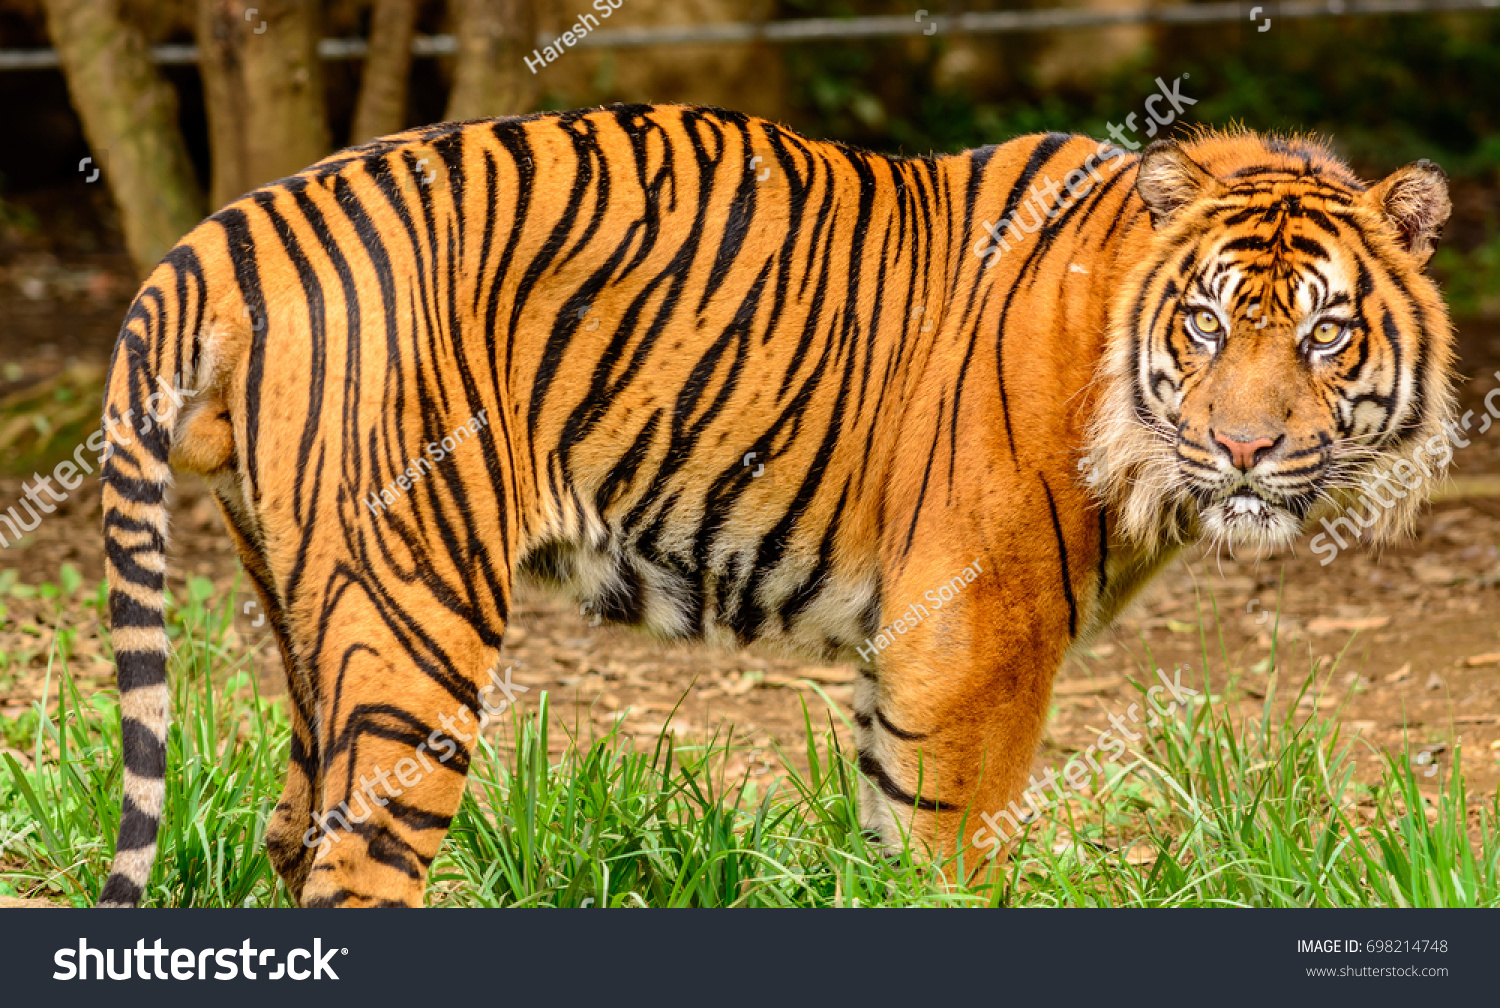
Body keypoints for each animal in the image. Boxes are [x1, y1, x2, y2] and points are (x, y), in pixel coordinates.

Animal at [96, 102, 1452, 906]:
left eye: (1328, 334)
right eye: (1209, 323)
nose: (1243, 447)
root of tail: (231, 225)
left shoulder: (907, 646)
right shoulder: (978, 637)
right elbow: (952, 851)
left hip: (302, 603)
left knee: (291, 831)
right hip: (414, 609)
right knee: (354, 865)